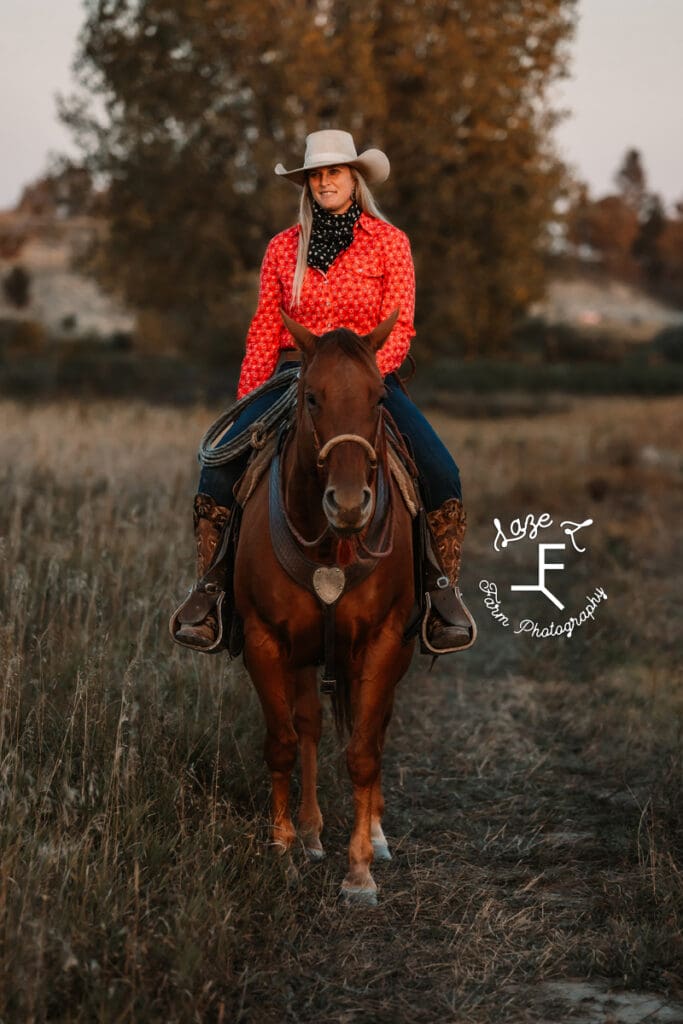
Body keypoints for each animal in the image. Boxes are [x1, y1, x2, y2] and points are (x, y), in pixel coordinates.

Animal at [235, 311, 413, 905]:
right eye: (311, 397)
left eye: (379, 397)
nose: (351, 504)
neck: (330, 546)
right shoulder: (266, 640)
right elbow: (283, 743)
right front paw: (284, 849)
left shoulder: (383, 640)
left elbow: (362, 751)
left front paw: (359, 873)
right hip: (305, 652)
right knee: (310, 724)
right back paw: (311, 834)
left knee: (373, 727)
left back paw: (375, 835)